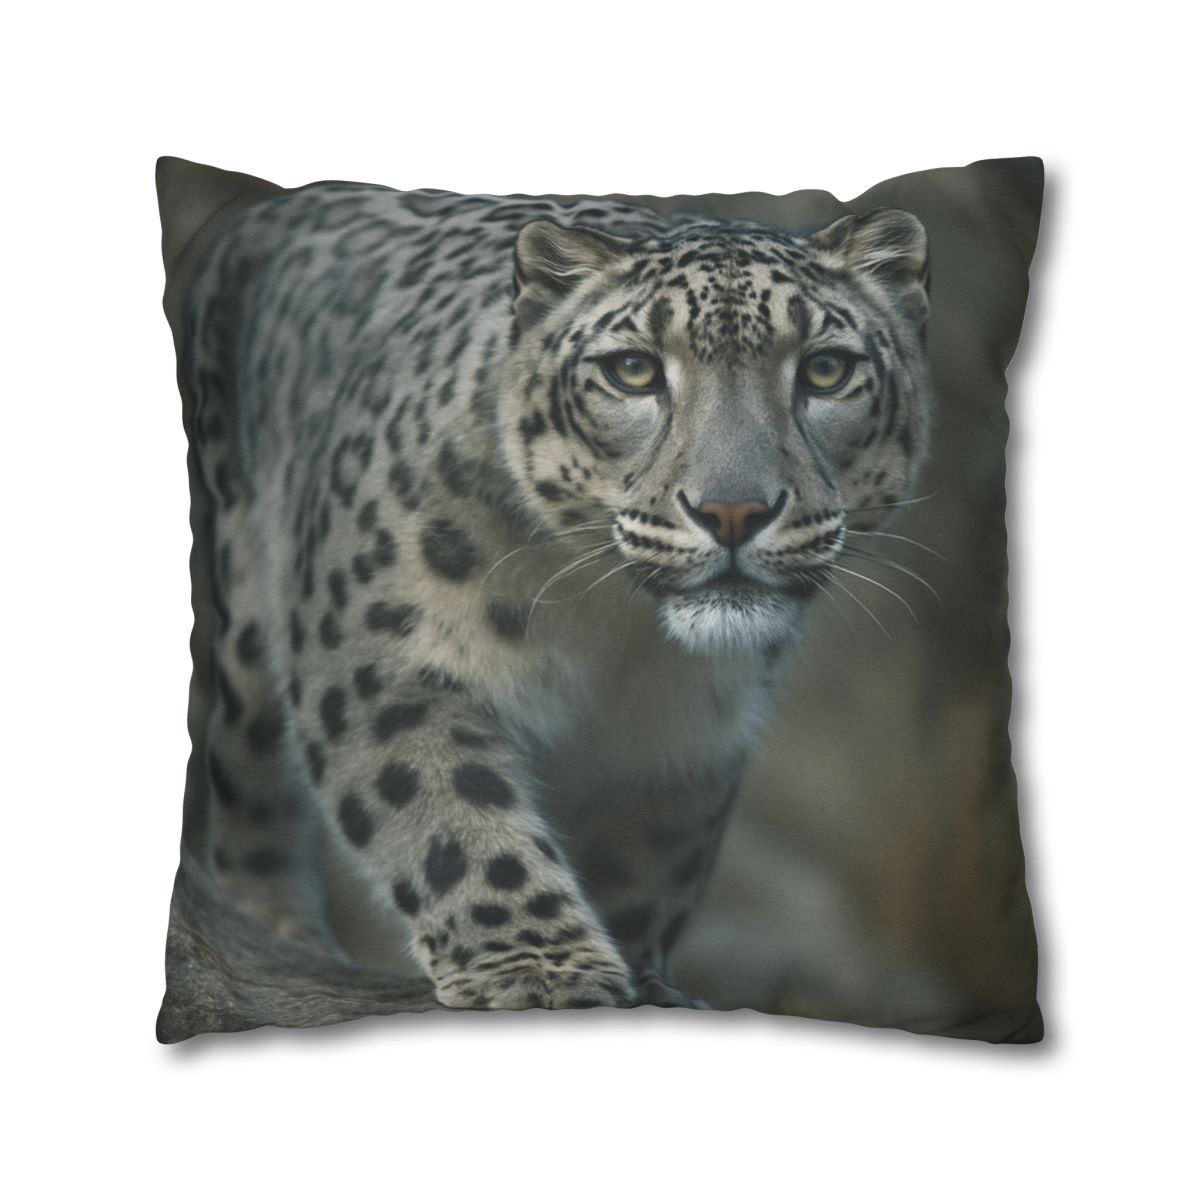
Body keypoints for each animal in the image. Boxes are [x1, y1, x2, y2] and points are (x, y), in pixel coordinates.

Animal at [181, 179, 931, 1010]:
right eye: (633, 370)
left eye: (826, 370)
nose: (733, 511)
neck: (615, 636)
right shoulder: (385, 657)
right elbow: (447, 811)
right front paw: (539, 968)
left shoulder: (687, 738)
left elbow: (649, 860)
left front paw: (644, 979)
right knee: (249, 792)